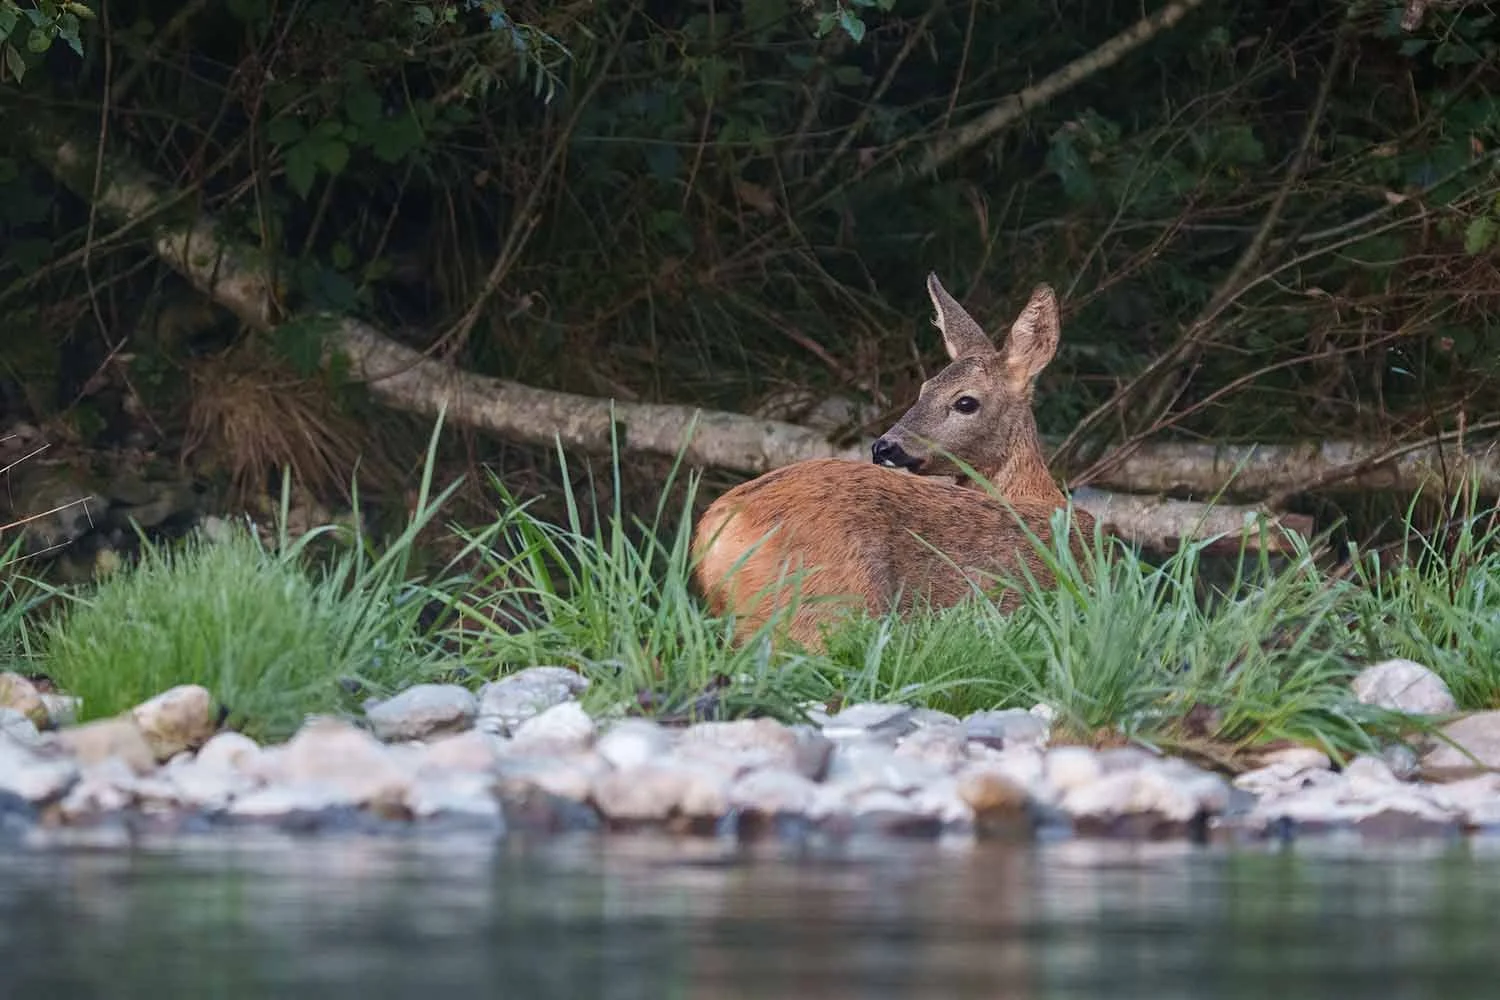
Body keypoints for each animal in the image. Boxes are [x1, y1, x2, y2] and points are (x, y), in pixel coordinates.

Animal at [691, 272, 1097, 650]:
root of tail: (719, 525)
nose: (884, 447)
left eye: (965, 401)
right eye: (924, 389)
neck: (1035, 492)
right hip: (830, 608)